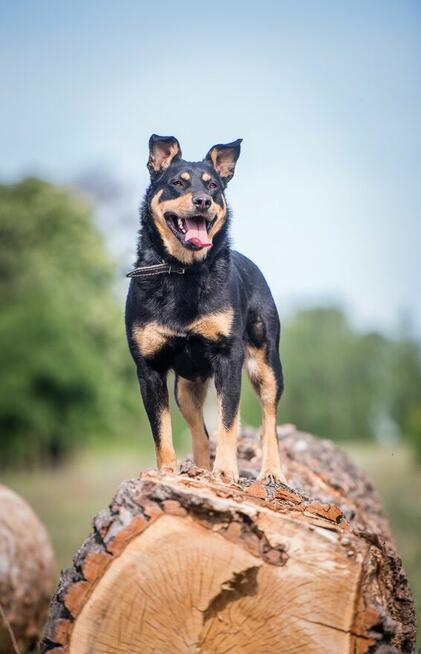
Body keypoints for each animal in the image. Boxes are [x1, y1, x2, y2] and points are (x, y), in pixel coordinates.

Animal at [123, 135, 284, 482]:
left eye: (213, 186)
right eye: (177, 183)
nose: (203, 201)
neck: (182, 271)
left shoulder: (229, 357)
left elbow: (228, 422)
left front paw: (225, 472)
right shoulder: (149, 367)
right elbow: (162, 430)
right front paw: (167, 472)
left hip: (267, 366)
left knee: (270, 422)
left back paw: (272, 472)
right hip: (186, 387)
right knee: (199, 431)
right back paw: (198, 469)